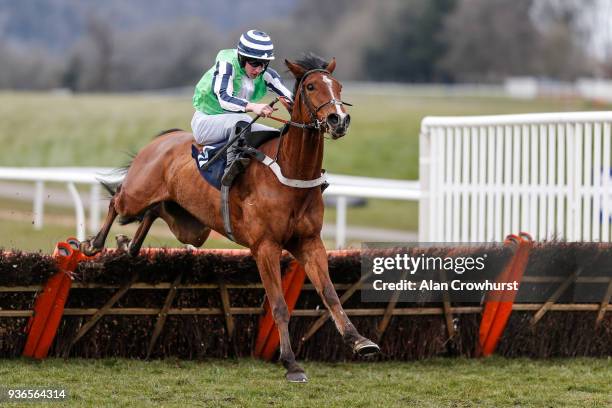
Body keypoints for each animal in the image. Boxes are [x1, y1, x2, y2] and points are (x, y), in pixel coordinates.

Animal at [81, 54, 378, 382]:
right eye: (311, 86)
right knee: (117, 201)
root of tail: (164, 139)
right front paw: (291, 363)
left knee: (155, 211)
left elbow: (330, 294)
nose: (339, 120)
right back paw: (93, 245)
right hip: (137, 194)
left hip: (190, 227)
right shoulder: (265, 246)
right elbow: (279, 306)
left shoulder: (310, 242)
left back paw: (128, 246)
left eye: (338, 86)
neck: (291, 174)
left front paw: (359, 340)